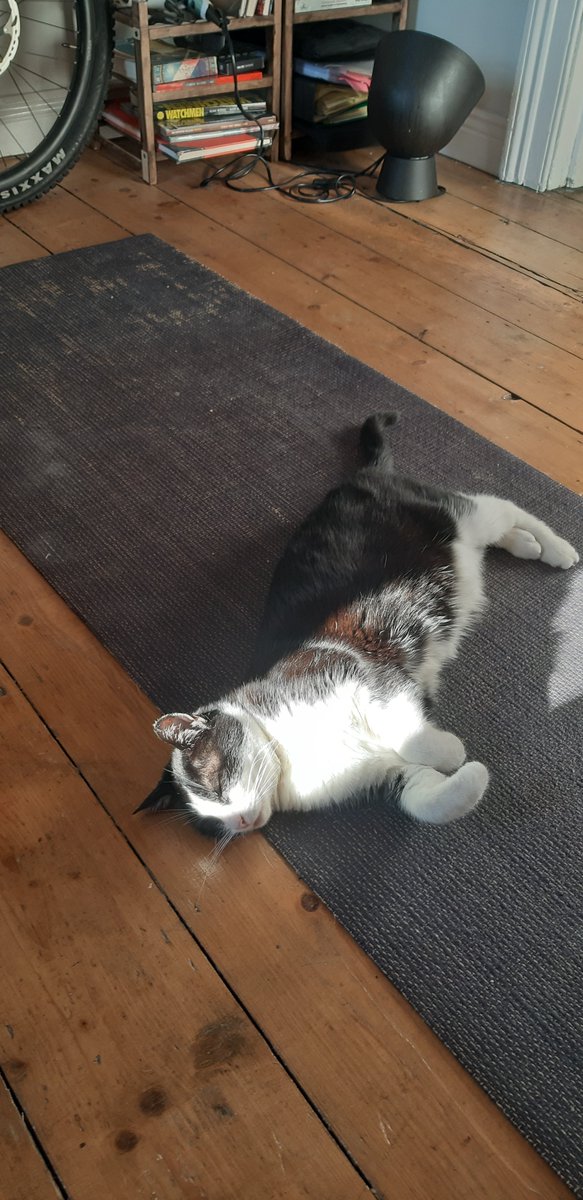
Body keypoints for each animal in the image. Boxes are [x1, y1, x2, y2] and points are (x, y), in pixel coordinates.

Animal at [136, 417, 578, 840]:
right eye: (209, 823)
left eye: (215, 782)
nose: (239, 822)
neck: (291, 761)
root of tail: (361, 476)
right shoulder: (388, 775)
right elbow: (427, 801)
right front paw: (469, 772)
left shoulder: (364, 670)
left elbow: (410, 736)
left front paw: (451, 751)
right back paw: (527, 545)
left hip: (455, 517)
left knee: (501, 506)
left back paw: (558, 549)